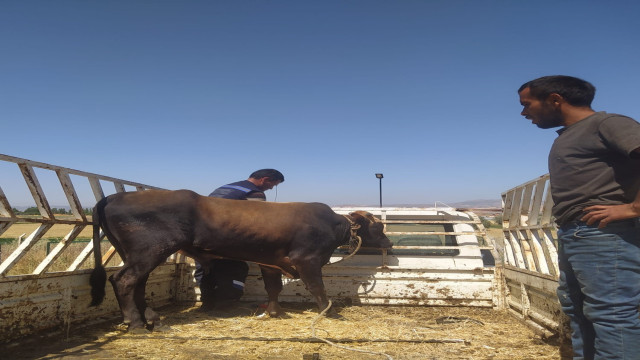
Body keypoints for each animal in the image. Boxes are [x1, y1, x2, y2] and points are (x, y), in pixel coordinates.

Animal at [89, 188, 390, 332]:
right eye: (378, 228)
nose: (388, 243)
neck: (331, 225)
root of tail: (114, 196)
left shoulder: (270, 261)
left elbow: (273, 288)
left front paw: (274, 312)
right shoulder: (308, 260)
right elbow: (318, 288)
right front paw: (330, 312)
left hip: (140, 255)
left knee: (138, 284)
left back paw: (154, 320)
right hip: (150, 251)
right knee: (124, 281)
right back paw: (136, 324)